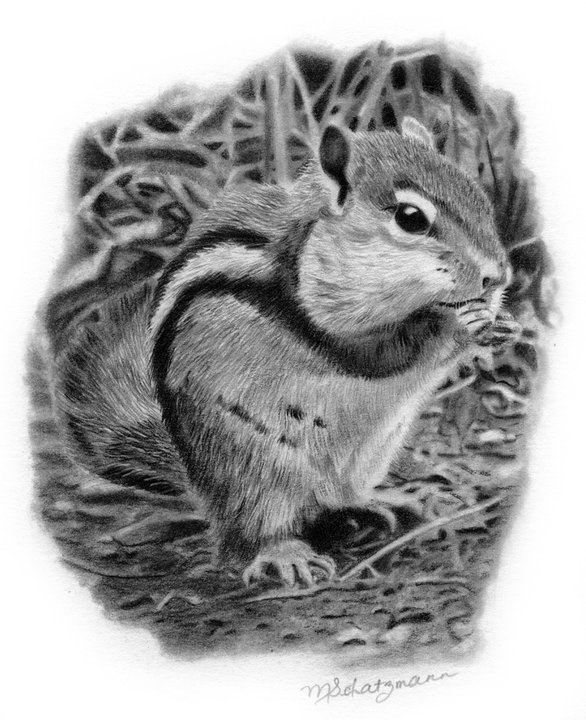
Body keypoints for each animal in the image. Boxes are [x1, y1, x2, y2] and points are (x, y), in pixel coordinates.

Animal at [53, 117, 517, 586]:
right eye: (411, 218)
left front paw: (502, 324)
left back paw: (388, 500)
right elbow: (379, 350)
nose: (498, 276)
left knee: (336, 499)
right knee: (255, 532)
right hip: (256, 468)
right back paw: (285, 552)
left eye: (479, 196)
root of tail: (205, 492)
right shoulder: (321, 317)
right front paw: (458, 325)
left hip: (370, 453)